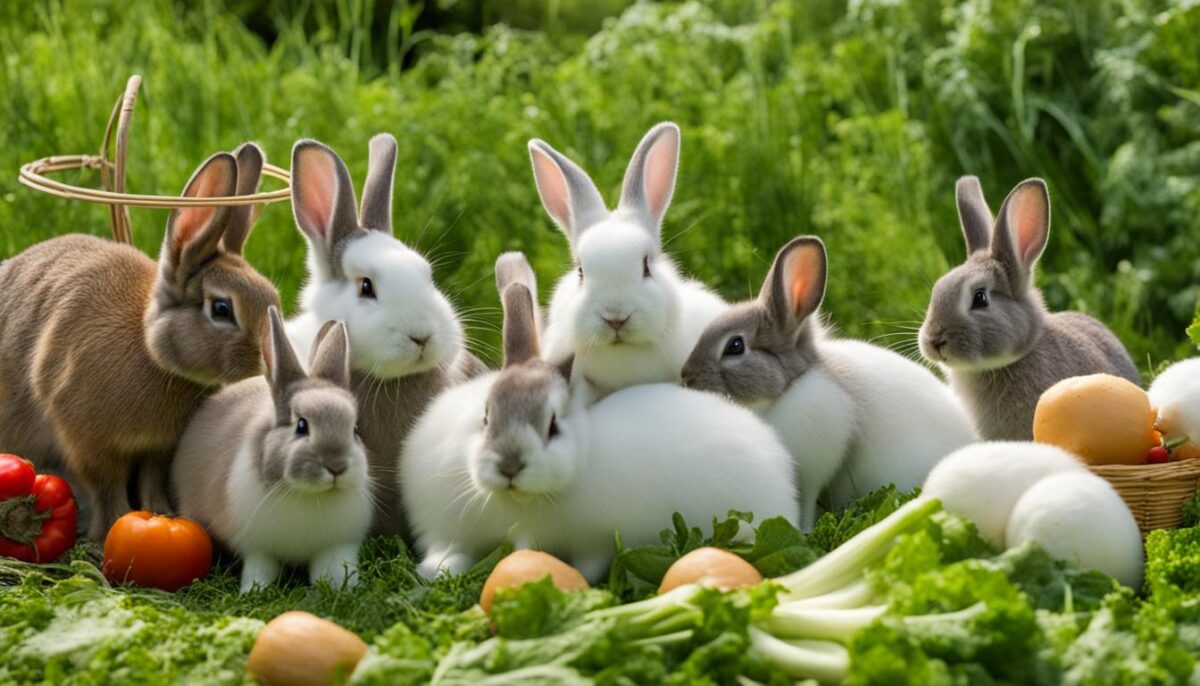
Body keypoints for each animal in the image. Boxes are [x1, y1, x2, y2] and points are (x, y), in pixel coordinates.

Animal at [0, 144, 280, 540]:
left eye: (272, 298)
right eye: (222, 309)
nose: (268, 359)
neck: (152, 350)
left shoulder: (158, 448)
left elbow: (151, 477)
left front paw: (161, 513)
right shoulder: (87, 441)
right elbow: (106, 484)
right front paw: (113, 527)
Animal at [172, 307, 371, 592]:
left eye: (354, 429)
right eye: (301, 425)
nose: (336, 466)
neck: (311, 496)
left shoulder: (336, 548)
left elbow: (333, 570)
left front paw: (346, 589)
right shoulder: (258, 549)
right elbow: (260, 569)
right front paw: (251, 591)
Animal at [681, 236, 979, 530]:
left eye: (735, 346)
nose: (686, 377)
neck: (788, 389)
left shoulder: (814, 467)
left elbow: (806, 502)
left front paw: (804, 530)